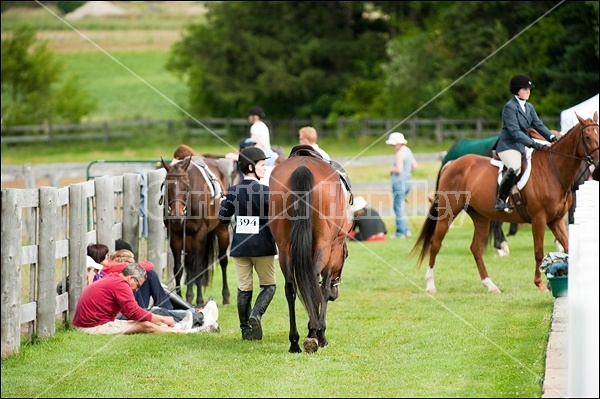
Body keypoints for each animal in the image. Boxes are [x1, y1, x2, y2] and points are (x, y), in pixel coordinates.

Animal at [161, 155, 231, 306]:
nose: (176, 216)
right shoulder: (175, 236)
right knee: (189, 264)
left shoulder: (200, 234)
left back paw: (226, 296)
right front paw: (180, 297)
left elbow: (198, 267)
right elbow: (179, 268)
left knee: (223, 260)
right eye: (167, 186)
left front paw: (199, 300)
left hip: (222, 230)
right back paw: (189, 296)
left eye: (186, 186)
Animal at [268, 148, 352, 354]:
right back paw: (313, 334)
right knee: (313, 281)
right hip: (323, 245)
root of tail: (303, 166)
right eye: (346, 255)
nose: (337, 293)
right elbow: (324, 289)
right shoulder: (333, 248)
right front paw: (320, 334)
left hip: (284, 248)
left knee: (290, 287)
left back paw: (294, 341)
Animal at [412, 112, 600, 294]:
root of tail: (452, 163)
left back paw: (490, 285)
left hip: (481, 217)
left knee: (476, 248)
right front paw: (540, 284)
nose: (598, 165)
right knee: (435, 244)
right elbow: (539, 252)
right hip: (448, 212)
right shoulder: (539, 219)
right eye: (588, 137)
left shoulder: (556, 220)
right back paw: (430, 285)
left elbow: (567, 247)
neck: (552, 171)